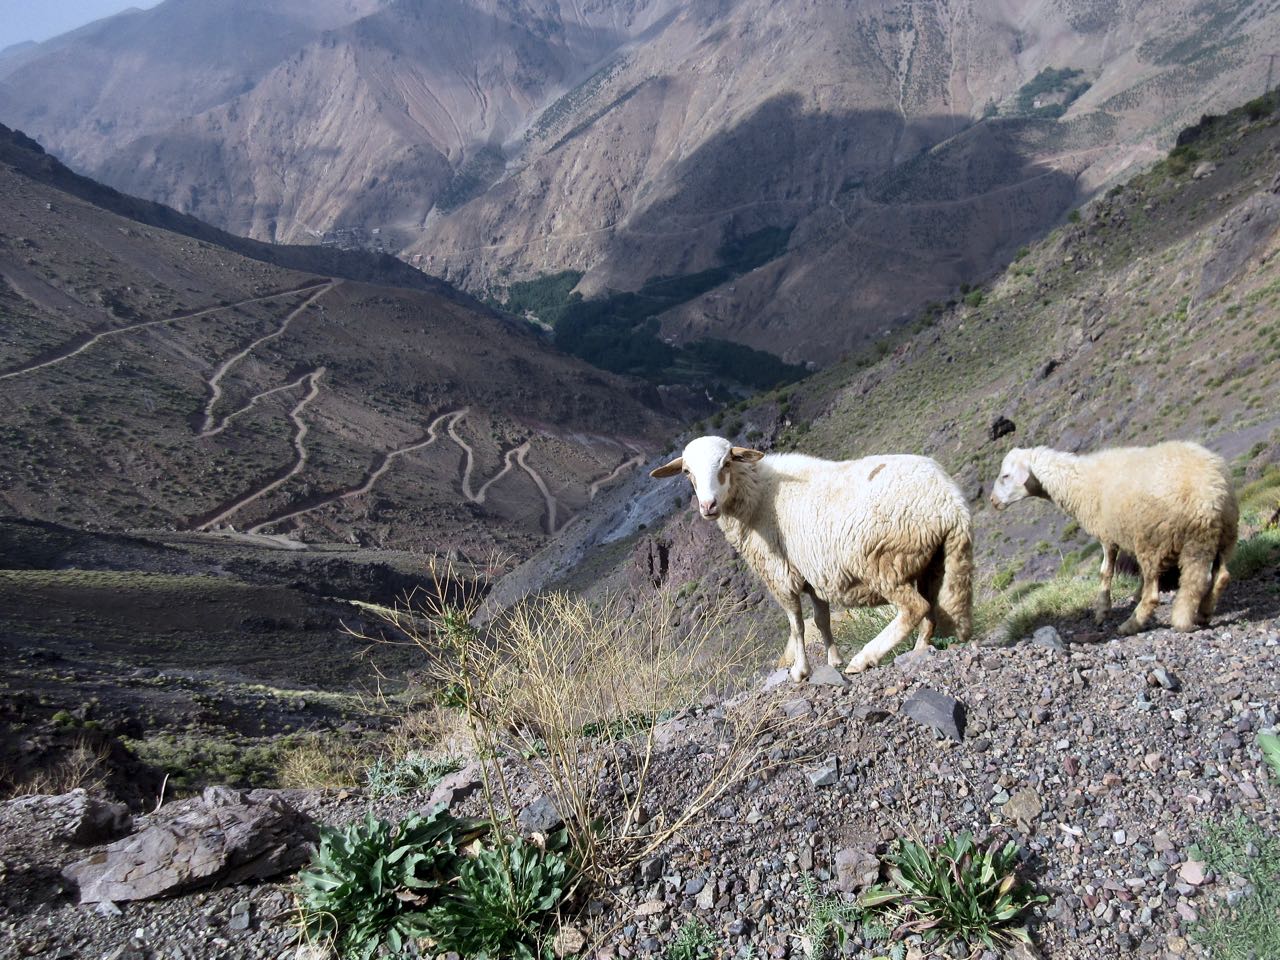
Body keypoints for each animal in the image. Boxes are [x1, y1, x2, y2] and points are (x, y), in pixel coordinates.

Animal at [650, 436, 973, 680]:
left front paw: (801, 671)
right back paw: (918, 650)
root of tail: (951, 504)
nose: (708, 506)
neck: (757, 496)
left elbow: (797, 625)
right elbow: (821, 620)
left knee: (914, 609)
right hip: (934, 564)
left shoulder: (781, 574)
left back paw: (864, 658)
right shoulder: (816, 574)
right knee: (930, 611)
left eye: (726, 463)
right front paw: (833, 660)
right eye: (687, 472)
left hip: (883, 561)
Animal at [989, 441, 1238, 635]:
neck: (1077, 482)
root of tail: (1207, 499)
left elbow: (1105, 572)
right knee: (1221, 576)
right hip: (1223, 536)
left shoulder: (1107, 535)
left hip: (1154, 539)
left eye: (1006, 475)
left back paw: (1133, 625)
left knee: (1154, 594)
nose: (992, 501)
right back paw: (1203, 612)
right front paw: (1130, 596)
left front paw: (1102, 610)